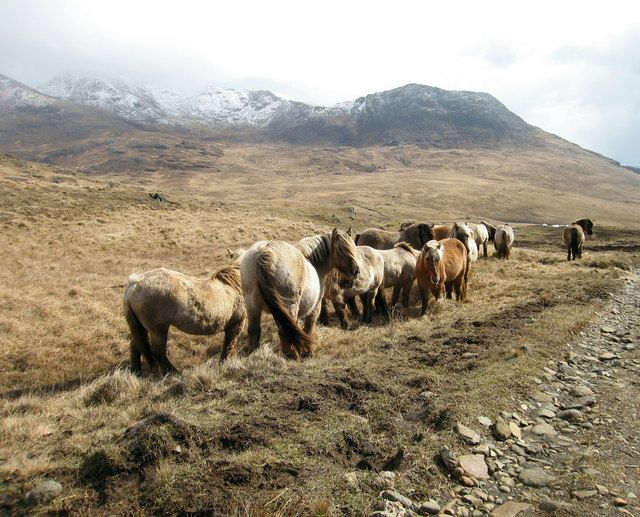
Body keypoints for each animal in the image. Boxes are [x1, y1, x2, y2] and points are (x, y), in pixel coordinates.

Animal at [241, 228, 360, 360]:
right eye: (341, 249)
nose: (355, 270)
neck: (314, 263)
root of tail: (265, 251)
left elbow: (297, 327)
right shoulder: (315, 308)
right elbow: (308, 329)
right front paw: (308, 352)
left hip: (252, 305)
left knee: (254, 330)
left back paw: (253, 353)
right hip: (289, 306)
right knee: (284, 331)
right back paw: (293, 356)